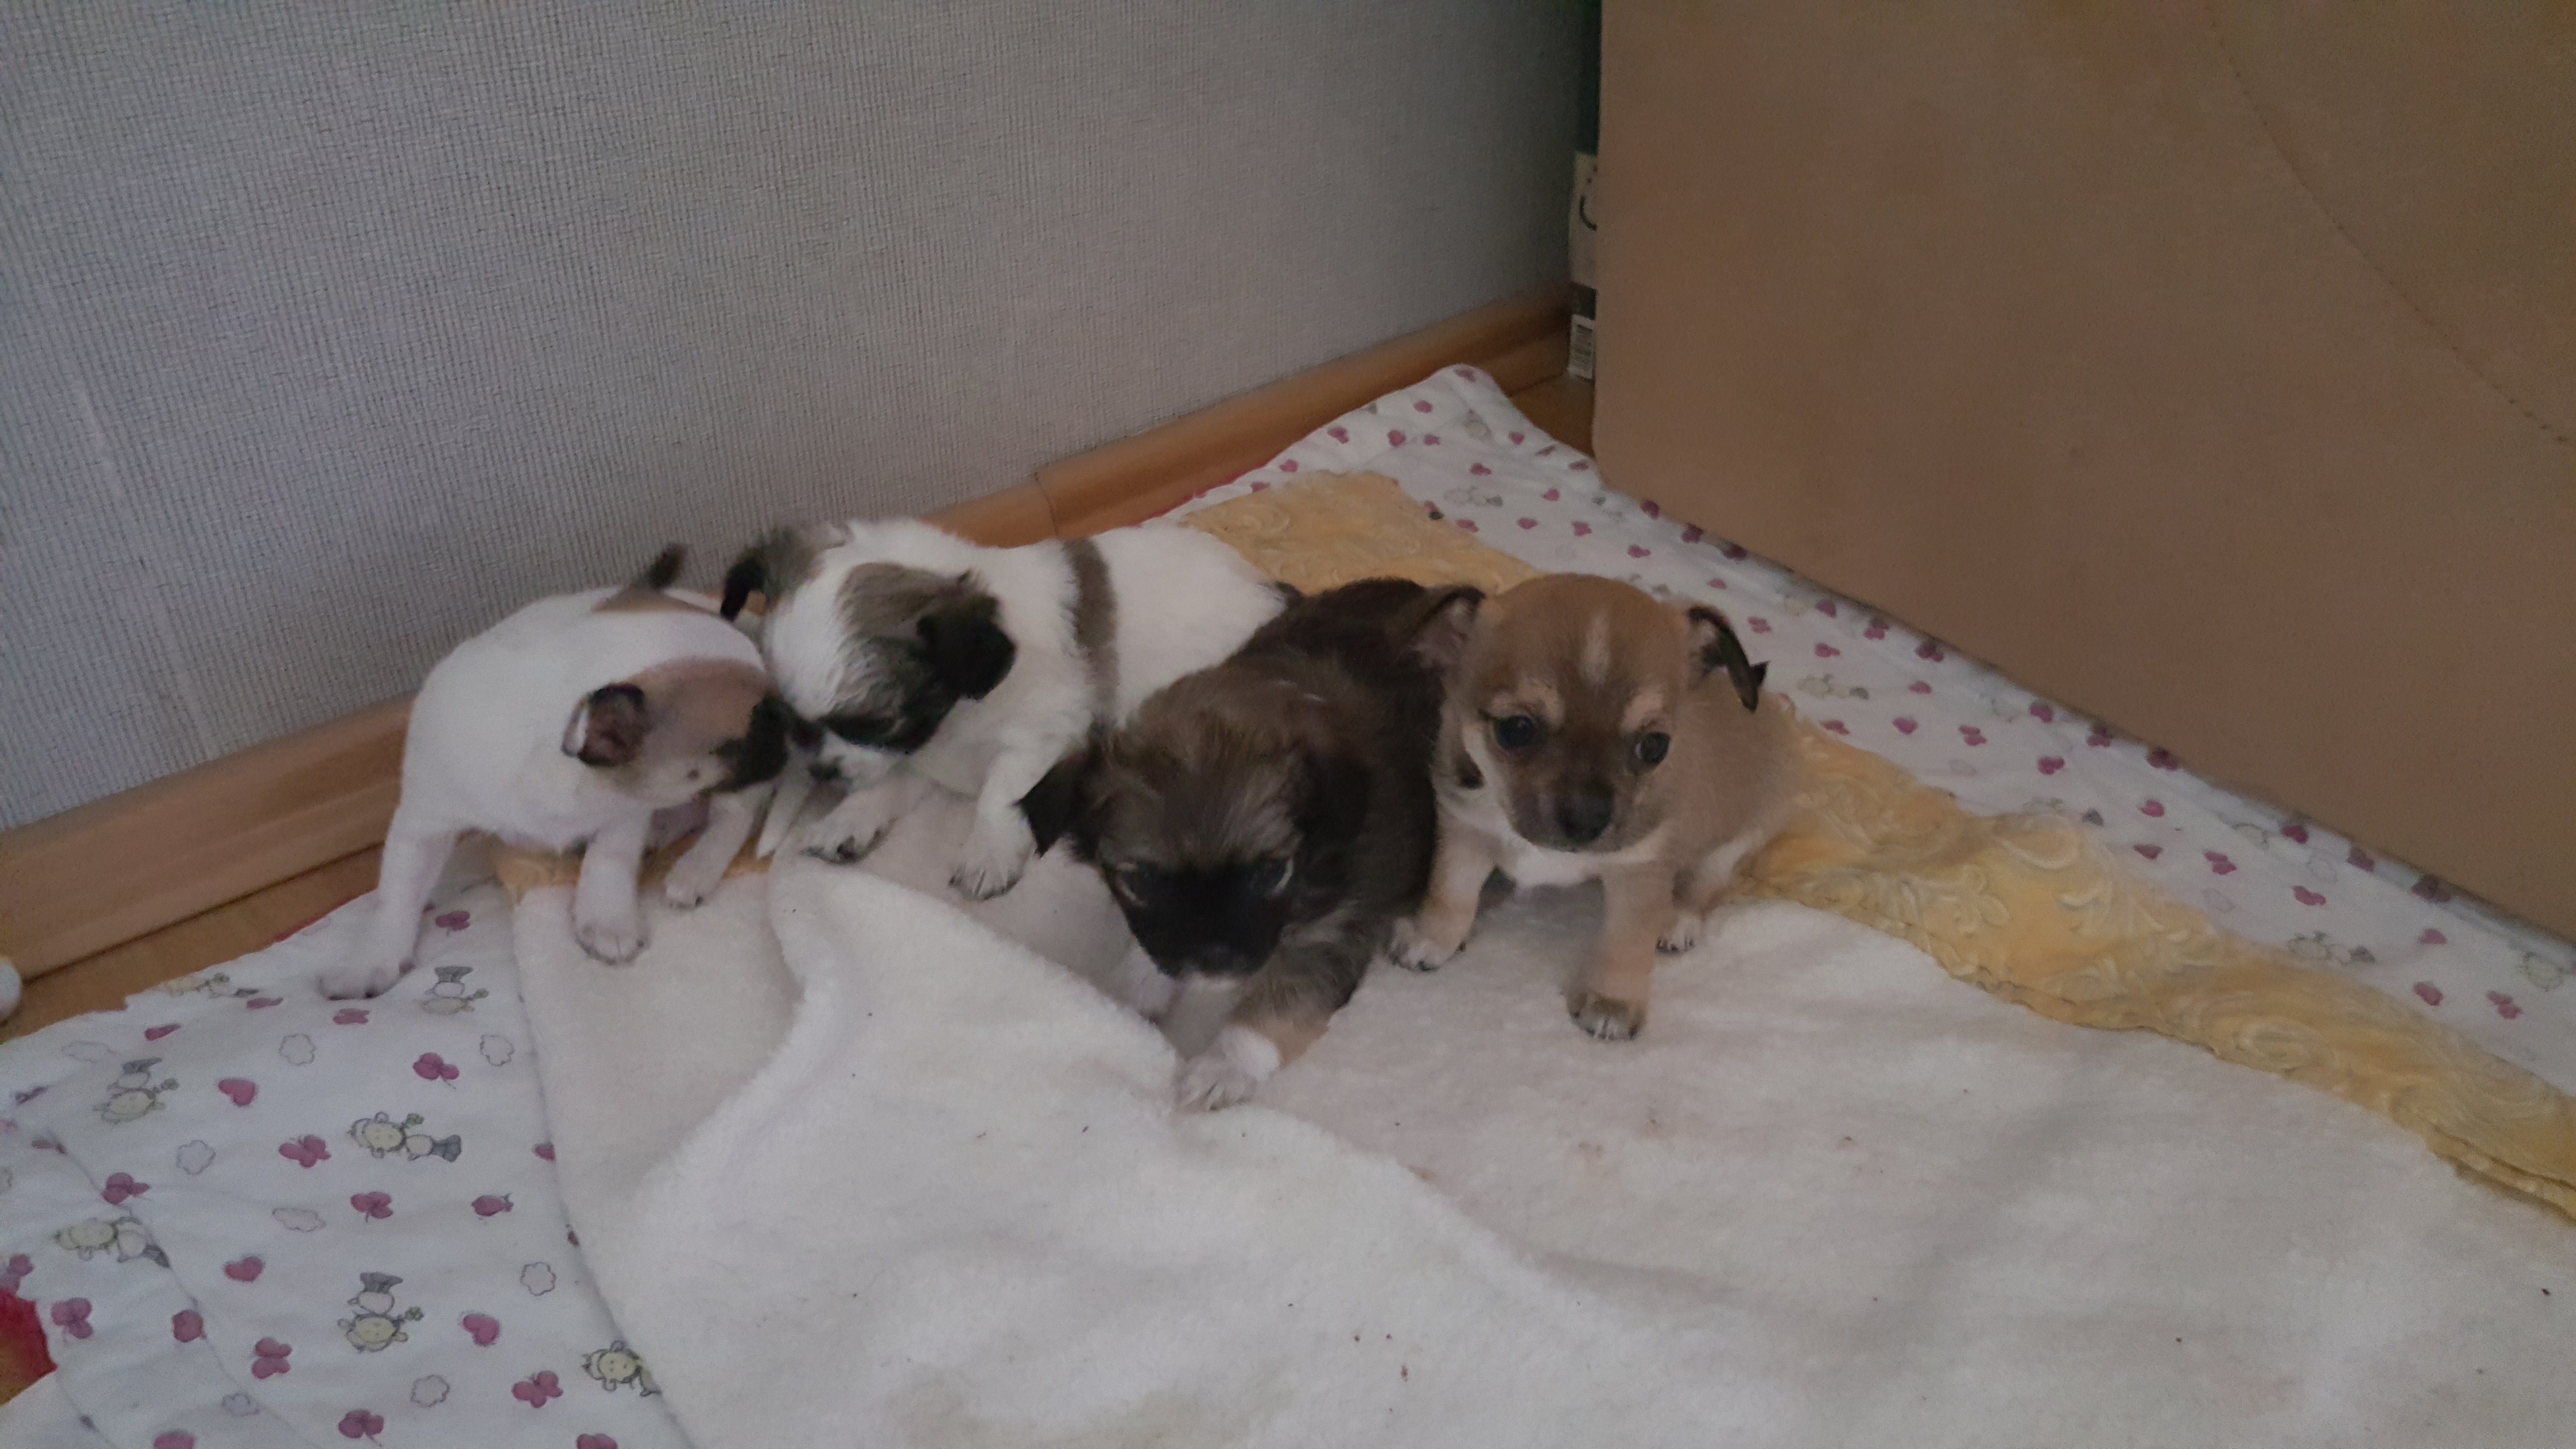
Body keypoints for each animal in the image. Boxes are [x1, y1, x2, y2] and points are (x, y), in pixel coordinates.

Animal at [320, 548, 791, 999]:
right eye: (749, 732)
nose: (795, 730)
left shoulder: (625, 808)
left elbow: (609, 861)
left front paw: (605, 920)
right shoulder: (425, 820)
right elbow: (397, 895)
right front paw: (373, 962)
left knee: (731, 817)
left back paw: (695, 867)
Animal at [720, 518, 1284, 900]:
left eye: (879, 724)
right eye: (798, 723)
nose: (822, 772)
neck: (957, 717)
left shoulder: (1043, 736)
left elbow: (1001, 793)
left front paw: (987, 851)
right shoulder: (926, 756)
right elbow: (889, 783)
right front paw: (848, 819)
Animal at [1024, 578, 1481, 1109]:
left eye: (1269, 872)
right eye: (1143, 881)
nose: (1214, 961)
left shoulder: (1331, 935)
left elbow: (1277, 1007)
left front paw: (1224, 1067)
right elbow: (1149, 946)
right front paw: (1132, 991)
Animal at [1390, 573, 1798, 1040]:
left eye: (1655, 746)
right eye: (1516, 729)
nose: (1587, 820)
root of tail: (1774, 708)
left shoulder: (1640, 873)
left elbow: (1626, 944)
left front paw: (1612, 1002)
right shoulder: (1467, 830)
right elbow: (1451, 894)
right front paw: (1432, 938)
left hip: (1740, 838)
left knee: (1706, 883)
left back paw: (1679, 919)